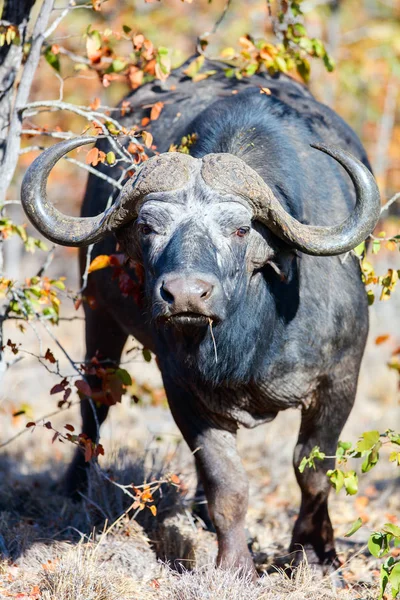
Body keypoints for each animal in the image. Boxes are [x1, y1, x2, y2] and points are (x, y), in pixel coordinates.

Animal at [20, 57, 380, 576]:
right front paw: (235, 564)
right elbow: (226, 481)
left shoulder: (340, 380)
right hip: (98, 314)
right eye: (148, 227)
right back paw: (78, 486)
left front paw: (315, 553)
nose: (185, 295)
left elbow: (312, 469)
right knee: (96, 400)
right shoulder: (183, 388)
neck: (255, 338)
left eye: (240, 228)